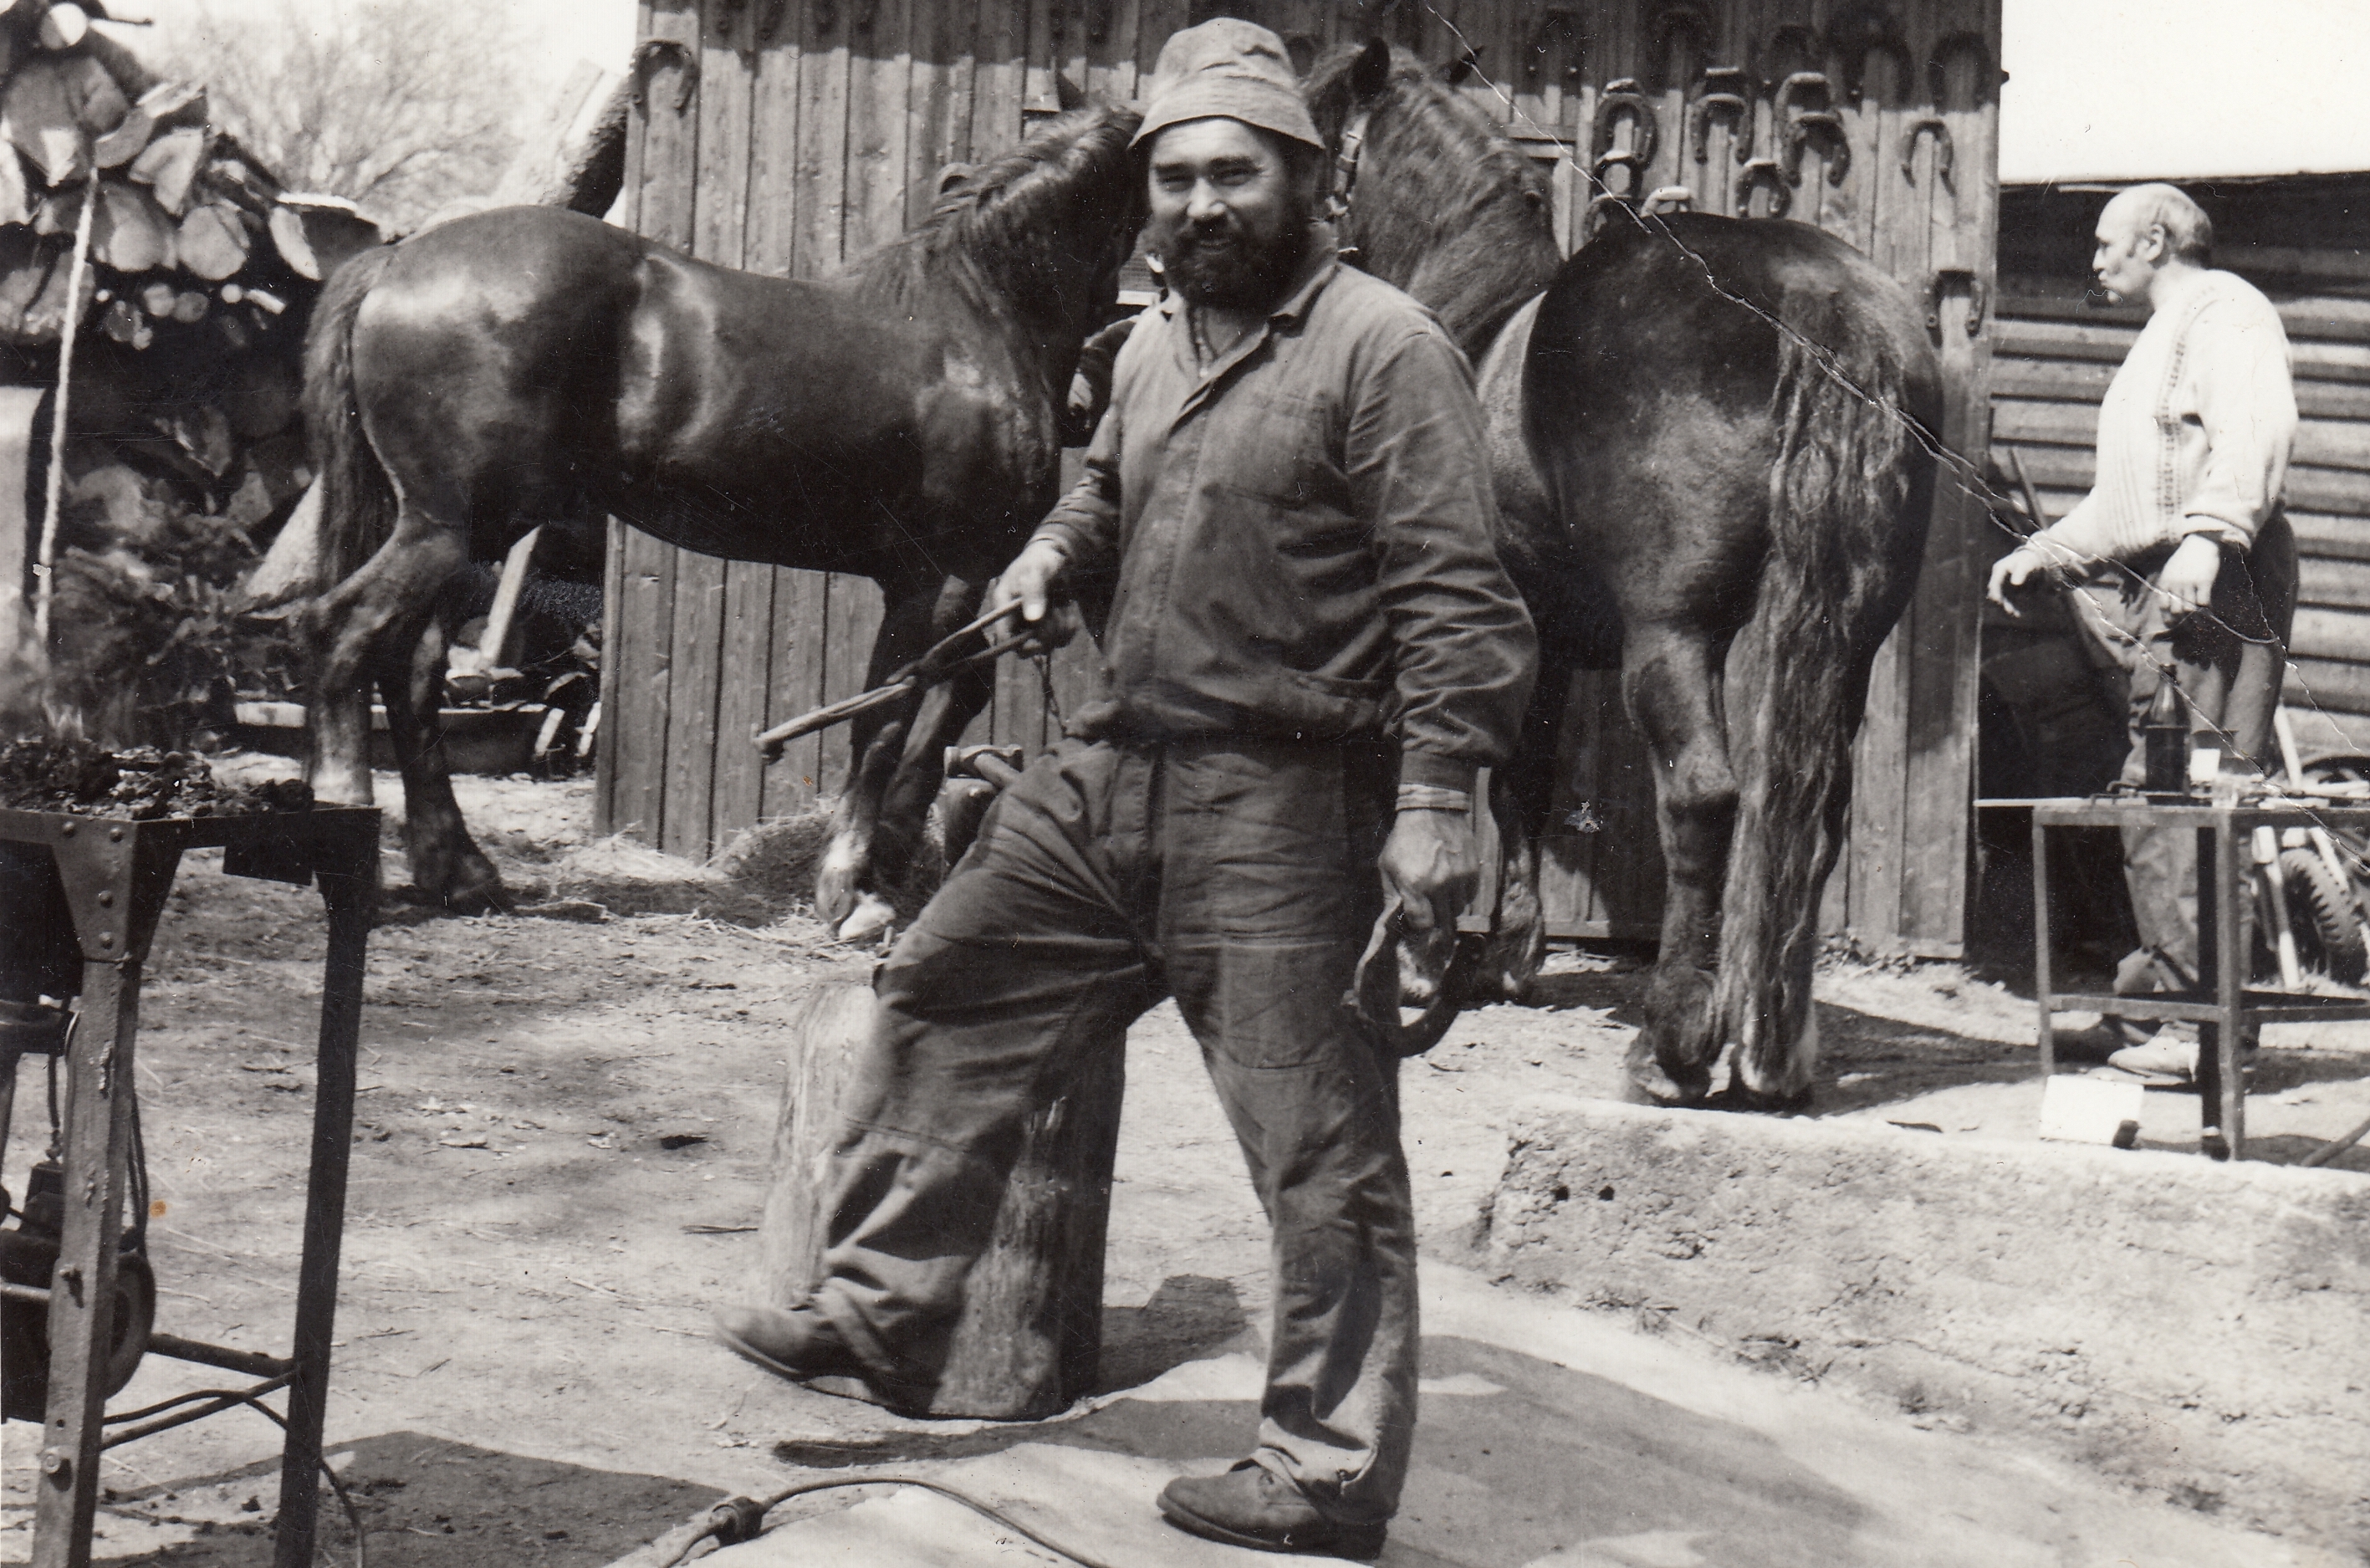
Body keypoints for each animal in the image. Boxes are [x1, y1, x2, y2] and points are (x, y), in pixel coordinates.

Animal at [294, 100, 1144, 931]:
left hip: (460, 535)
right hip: (451, 529)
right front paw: (849, 889)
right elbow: (889, 716)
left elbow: (951, 698)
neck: (978, 317)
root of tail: (397, 262)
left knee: (410, 669)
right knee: (344, 632)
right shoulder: (939, 574)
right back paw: (350, 837)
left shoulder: (976, 577)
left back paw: (462, 873)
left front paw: (893, 853)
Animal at [1307, 43, 1942, 1108]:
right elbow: (1524, 780)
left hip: (1671, 634)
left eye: (1306, 130)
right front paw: (1510, 953)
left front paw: (1433, 958)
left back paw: (1672, 1047)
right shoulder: (1544, 634)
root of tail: (1816, 300)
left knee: (1702, 800)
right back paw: (1776, 1052)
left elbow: (1460, 776)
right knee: (1814, 816)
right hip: (1850, 638)